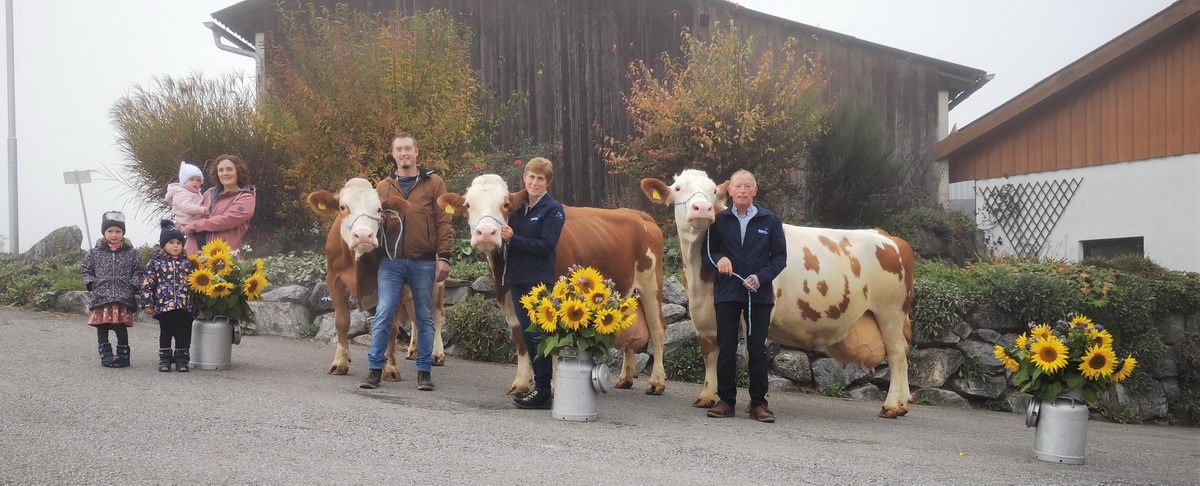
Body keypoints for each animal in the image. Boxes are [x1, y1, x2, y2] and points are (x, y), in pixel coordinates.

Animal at [436, 174, 672, 393]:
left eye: (505, 205)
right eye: (468, 205)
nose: (486, 233)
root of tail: (638, 214)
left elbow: (554, 341)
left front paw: (552, 385)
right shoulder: (508, 299)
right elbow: (521, 339)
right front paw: (521, 383)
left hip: (651, 284)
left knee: (658, 329)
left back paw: (656, 382)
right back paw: (626, 377)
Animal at [643, 170, 912, 417]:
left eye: (714, 191)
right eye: (678, 188)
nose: (703, 208)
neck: (701, 277)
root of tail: (889, 237)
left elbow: (751, 354)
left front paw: (754, 404)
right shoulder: (703, 313)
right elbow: (711, 353)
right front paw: (707, 396)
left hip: (891, 312)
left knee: (897, 354)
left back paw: (891, 406)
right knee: (903, 351)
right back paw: (904, 403)